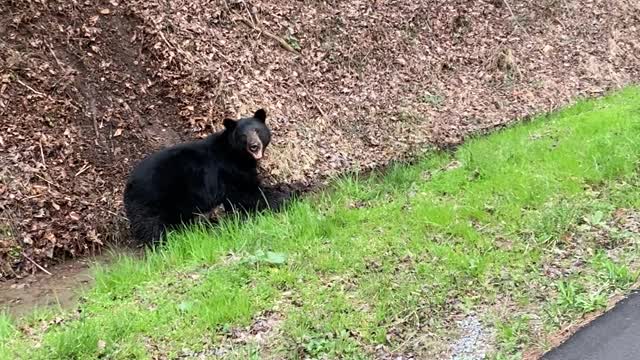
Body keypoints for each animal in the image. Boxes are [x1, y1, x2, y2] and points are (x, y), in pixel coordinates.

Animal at [125, 109, 276, 245]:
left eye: (257, 130)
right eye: (243, 135)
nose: (254, 146)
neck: (238, 155)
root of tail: (129, 184)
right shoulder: (229, 171)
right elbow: (246, 193)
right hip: (153, 198)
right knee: (151, 225)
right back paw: (163, 245)